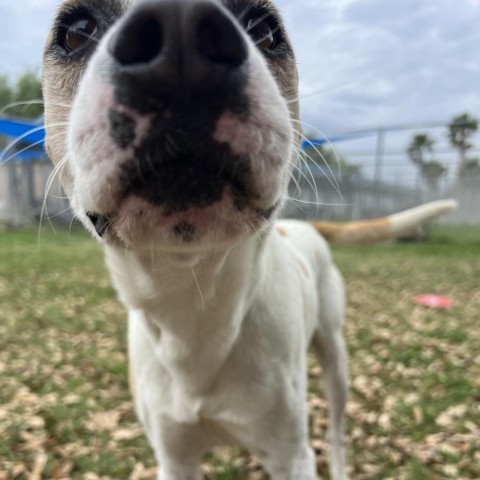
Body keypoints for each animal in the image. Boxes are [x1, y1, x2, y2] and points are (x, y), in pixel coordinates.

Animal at [42, 1, 458, 478]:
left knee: (336, 427)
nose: (180, 32)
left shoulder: (291, 455)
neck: (194, 304)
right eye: (77, 30)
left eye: (264, 29)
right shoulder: (174, 456)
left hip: (335, 358)